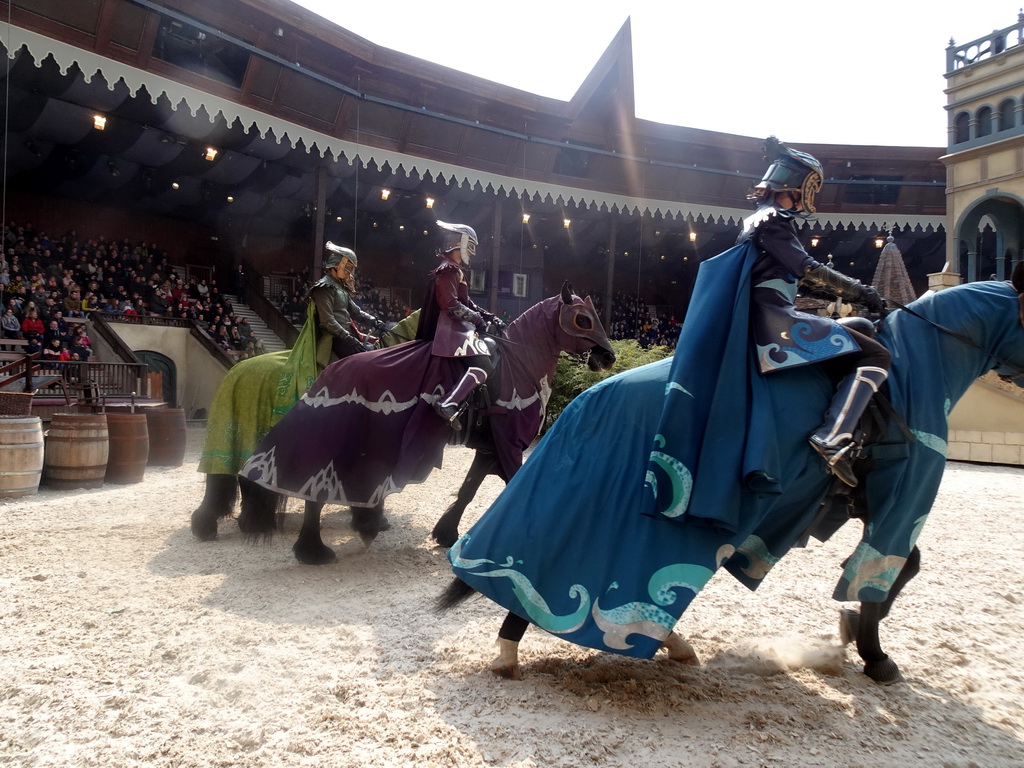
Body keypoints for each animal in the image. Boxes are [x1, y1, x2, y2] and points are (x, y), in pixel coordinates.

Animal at [234, 286, 614, 569]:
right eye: (582, 319)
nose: (607, 357)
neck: (519, 364)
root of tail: (329, 372)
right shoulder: (508, 444)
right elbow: (514, 486)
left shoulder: (490, 448)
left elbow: (468, 490)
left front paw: (447, 533)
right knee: (317, 492)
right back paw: (316, 549)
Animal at [438, 266, 1024, 684]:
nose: (603, 352)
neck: (921, 365)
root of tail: (586, 399)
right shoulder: (900, 500)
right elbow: (889, 573)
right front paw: (874, 653)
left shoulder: (865, 502)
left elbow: (904, 569)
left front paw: (855, 634)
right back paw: (518, 648)